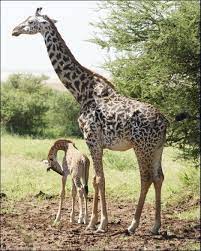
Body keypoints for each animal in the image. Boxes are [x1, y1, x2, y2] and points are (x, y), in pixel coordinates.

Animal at [12, 7, 169, 234]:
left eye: (31, 21)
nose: (14, 30)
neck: (81, 91)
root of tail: (164, 122)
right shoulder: (96, 143)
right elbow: (95, 179)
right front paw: (94, 221)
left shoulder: (92, 138)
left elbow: (98, 179)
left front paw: (98, 223)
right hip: (158, 148)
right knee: (159, 177)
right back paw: (155, 226)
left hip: (142, 147)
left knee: (146, 177)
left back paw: (133, 225)